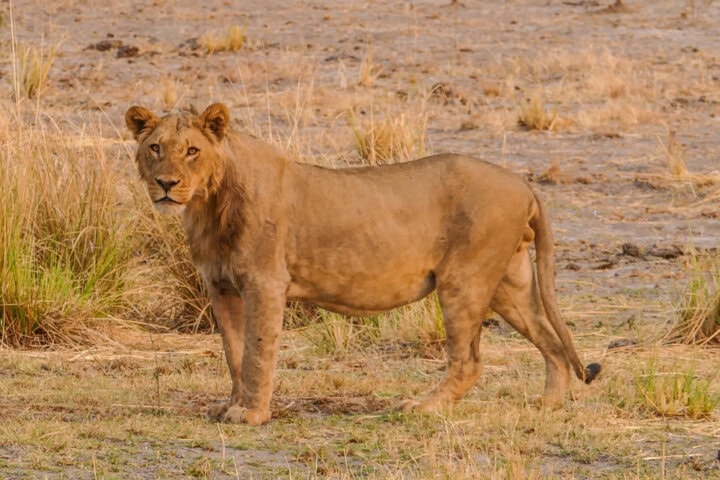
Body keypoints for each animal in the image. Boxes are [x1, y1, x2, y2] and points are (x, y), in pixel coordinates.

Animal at [125, 103, 601, 425]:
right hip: (508, 284)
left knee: (469, 360)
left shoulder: (265, 282)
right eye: (155, 148)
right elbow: (233, 351)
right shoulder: (221, 287)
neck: (207, 205)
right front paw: (233, 404)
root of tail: (522, 182)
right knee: (551, 340)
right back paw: (547, 404)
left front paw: (252, 414)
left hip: (464, 280)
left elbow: (258, 351)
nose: (166, 184)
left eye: (191, 150)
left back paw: (422, 406)